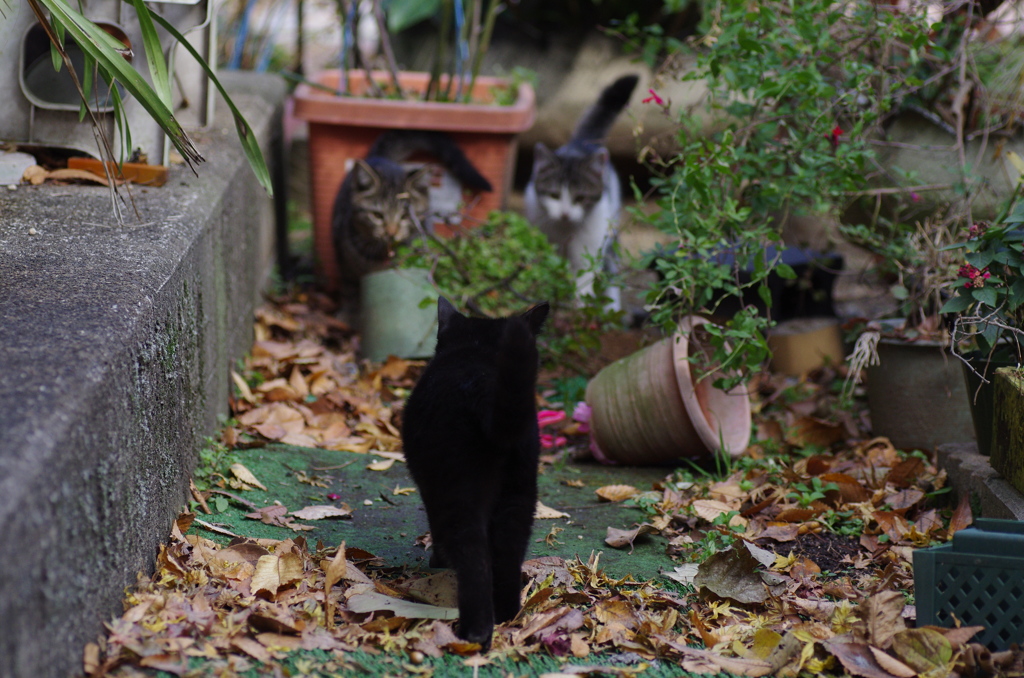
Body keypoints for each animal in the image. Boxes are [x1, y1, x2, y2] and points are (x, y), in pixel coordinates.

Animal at [399, 299, 548, 655]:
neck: (478, 348)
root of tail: (485, 386)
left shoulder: (431, 489)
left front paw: (437, 561)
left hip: (458, 490)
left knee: (472, 553)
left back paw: (474, 634)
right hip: (521, 492)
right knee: (508, 551)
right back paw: (507, 614)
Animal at [524, 74, 634, 311]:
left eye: (581, 198)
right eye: (554, 195)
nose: (565, 213)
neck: (565, 231)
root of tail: (582, 143)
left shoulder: (589, 252)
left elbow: (584, 283)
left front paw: (580, 308)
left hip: (610, 233)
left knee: (611, 270)